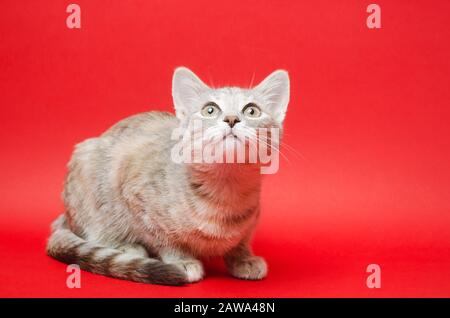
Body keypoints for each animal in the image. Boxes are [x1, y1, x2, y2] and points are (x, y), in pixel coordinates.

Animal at [46, 67, 292, 286]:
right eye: (210, 110)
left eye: (252, 111)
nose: (231, 119)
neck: (225, 190)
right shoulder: (136, 195)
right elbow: (163, 238)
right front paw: (181, 259)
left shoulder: (252, 219)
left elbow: (242, 239)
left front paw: (243, 258)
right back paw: (126, 246)